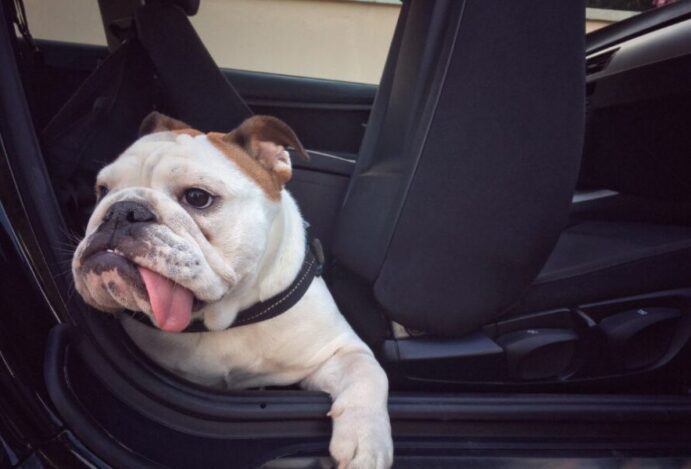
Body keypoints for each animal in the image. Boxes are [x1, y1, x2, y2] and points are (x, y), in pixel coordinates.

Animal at [72, 112, 393, 469]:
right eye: (102, 190)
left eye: (197, 197)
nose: (122, 210)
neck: (227, 314)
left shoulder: (338, 350)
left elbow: (369, 372)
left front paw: (366, 442)